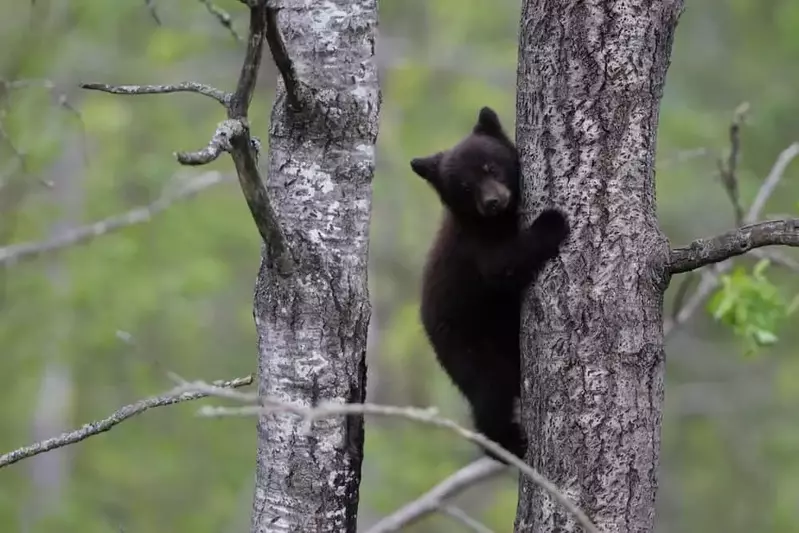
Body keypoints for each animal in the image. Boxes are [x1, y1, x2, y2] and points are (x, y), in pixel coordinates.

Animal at [409, 106, 569, 462]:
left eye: (490, 167)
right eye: (465, 187)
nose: (493, 201)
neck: (498, 222)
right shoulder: (474, 247)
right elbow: (502, 266)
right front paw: (553, 221)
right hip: (468, 346)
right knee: (489, 393)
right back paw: (508, 442)